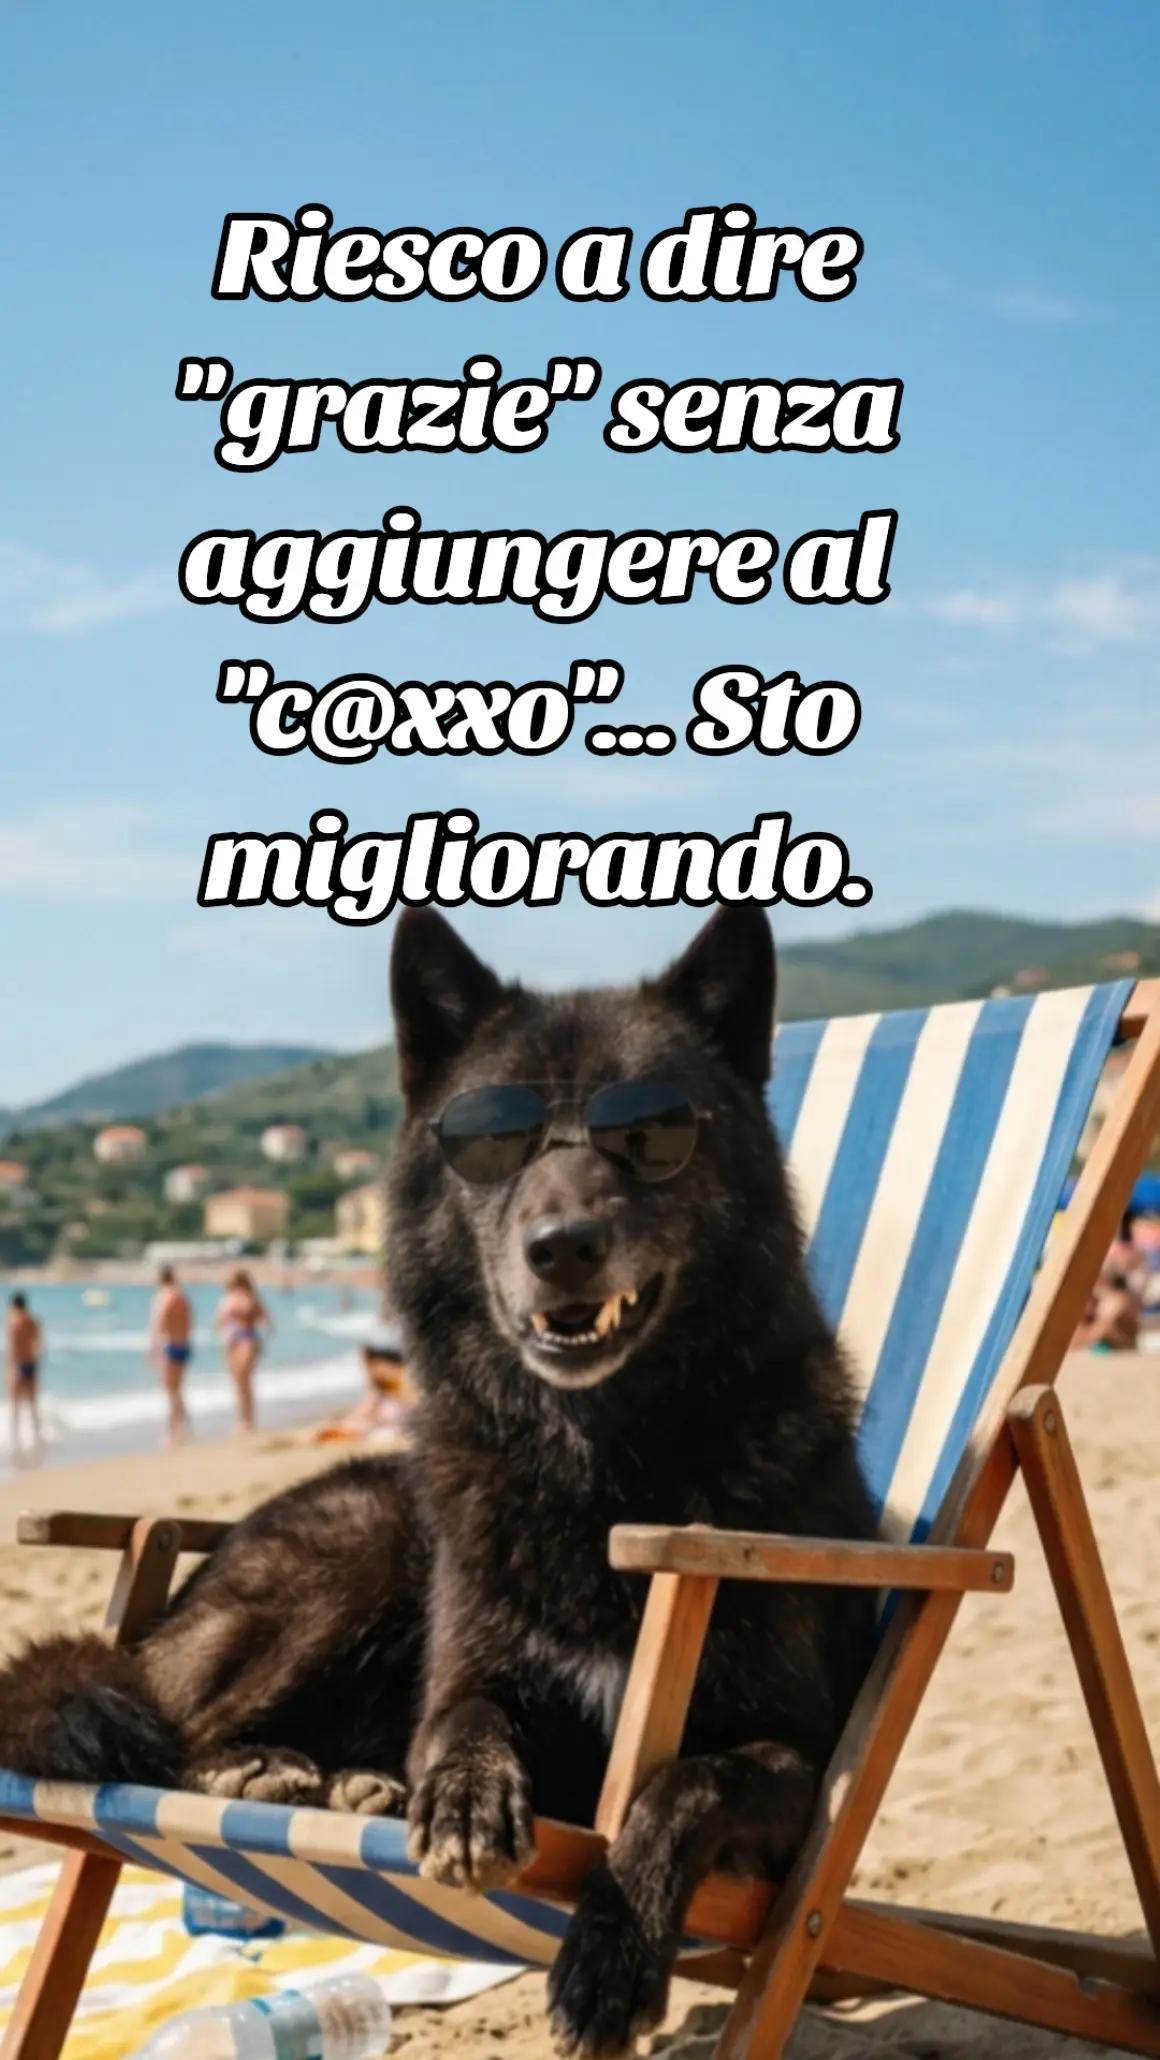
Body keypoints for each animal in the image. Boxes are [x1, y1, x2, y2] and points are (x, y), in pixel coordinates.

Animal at [0, 905, 876, 2057]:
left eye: (650, 1135)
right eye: (491, 1140)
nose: (562, 1247)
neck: (600, 1468)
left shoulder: (799, 1762)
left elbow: (686, 1779)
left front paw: (610, 1954)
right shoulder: (467, 1674)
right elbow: (462, 1718)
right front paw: (461, 1796)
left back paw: (352, 1781)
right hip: (353, 1558)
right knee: (161, 1722)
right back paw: (262, 1767)